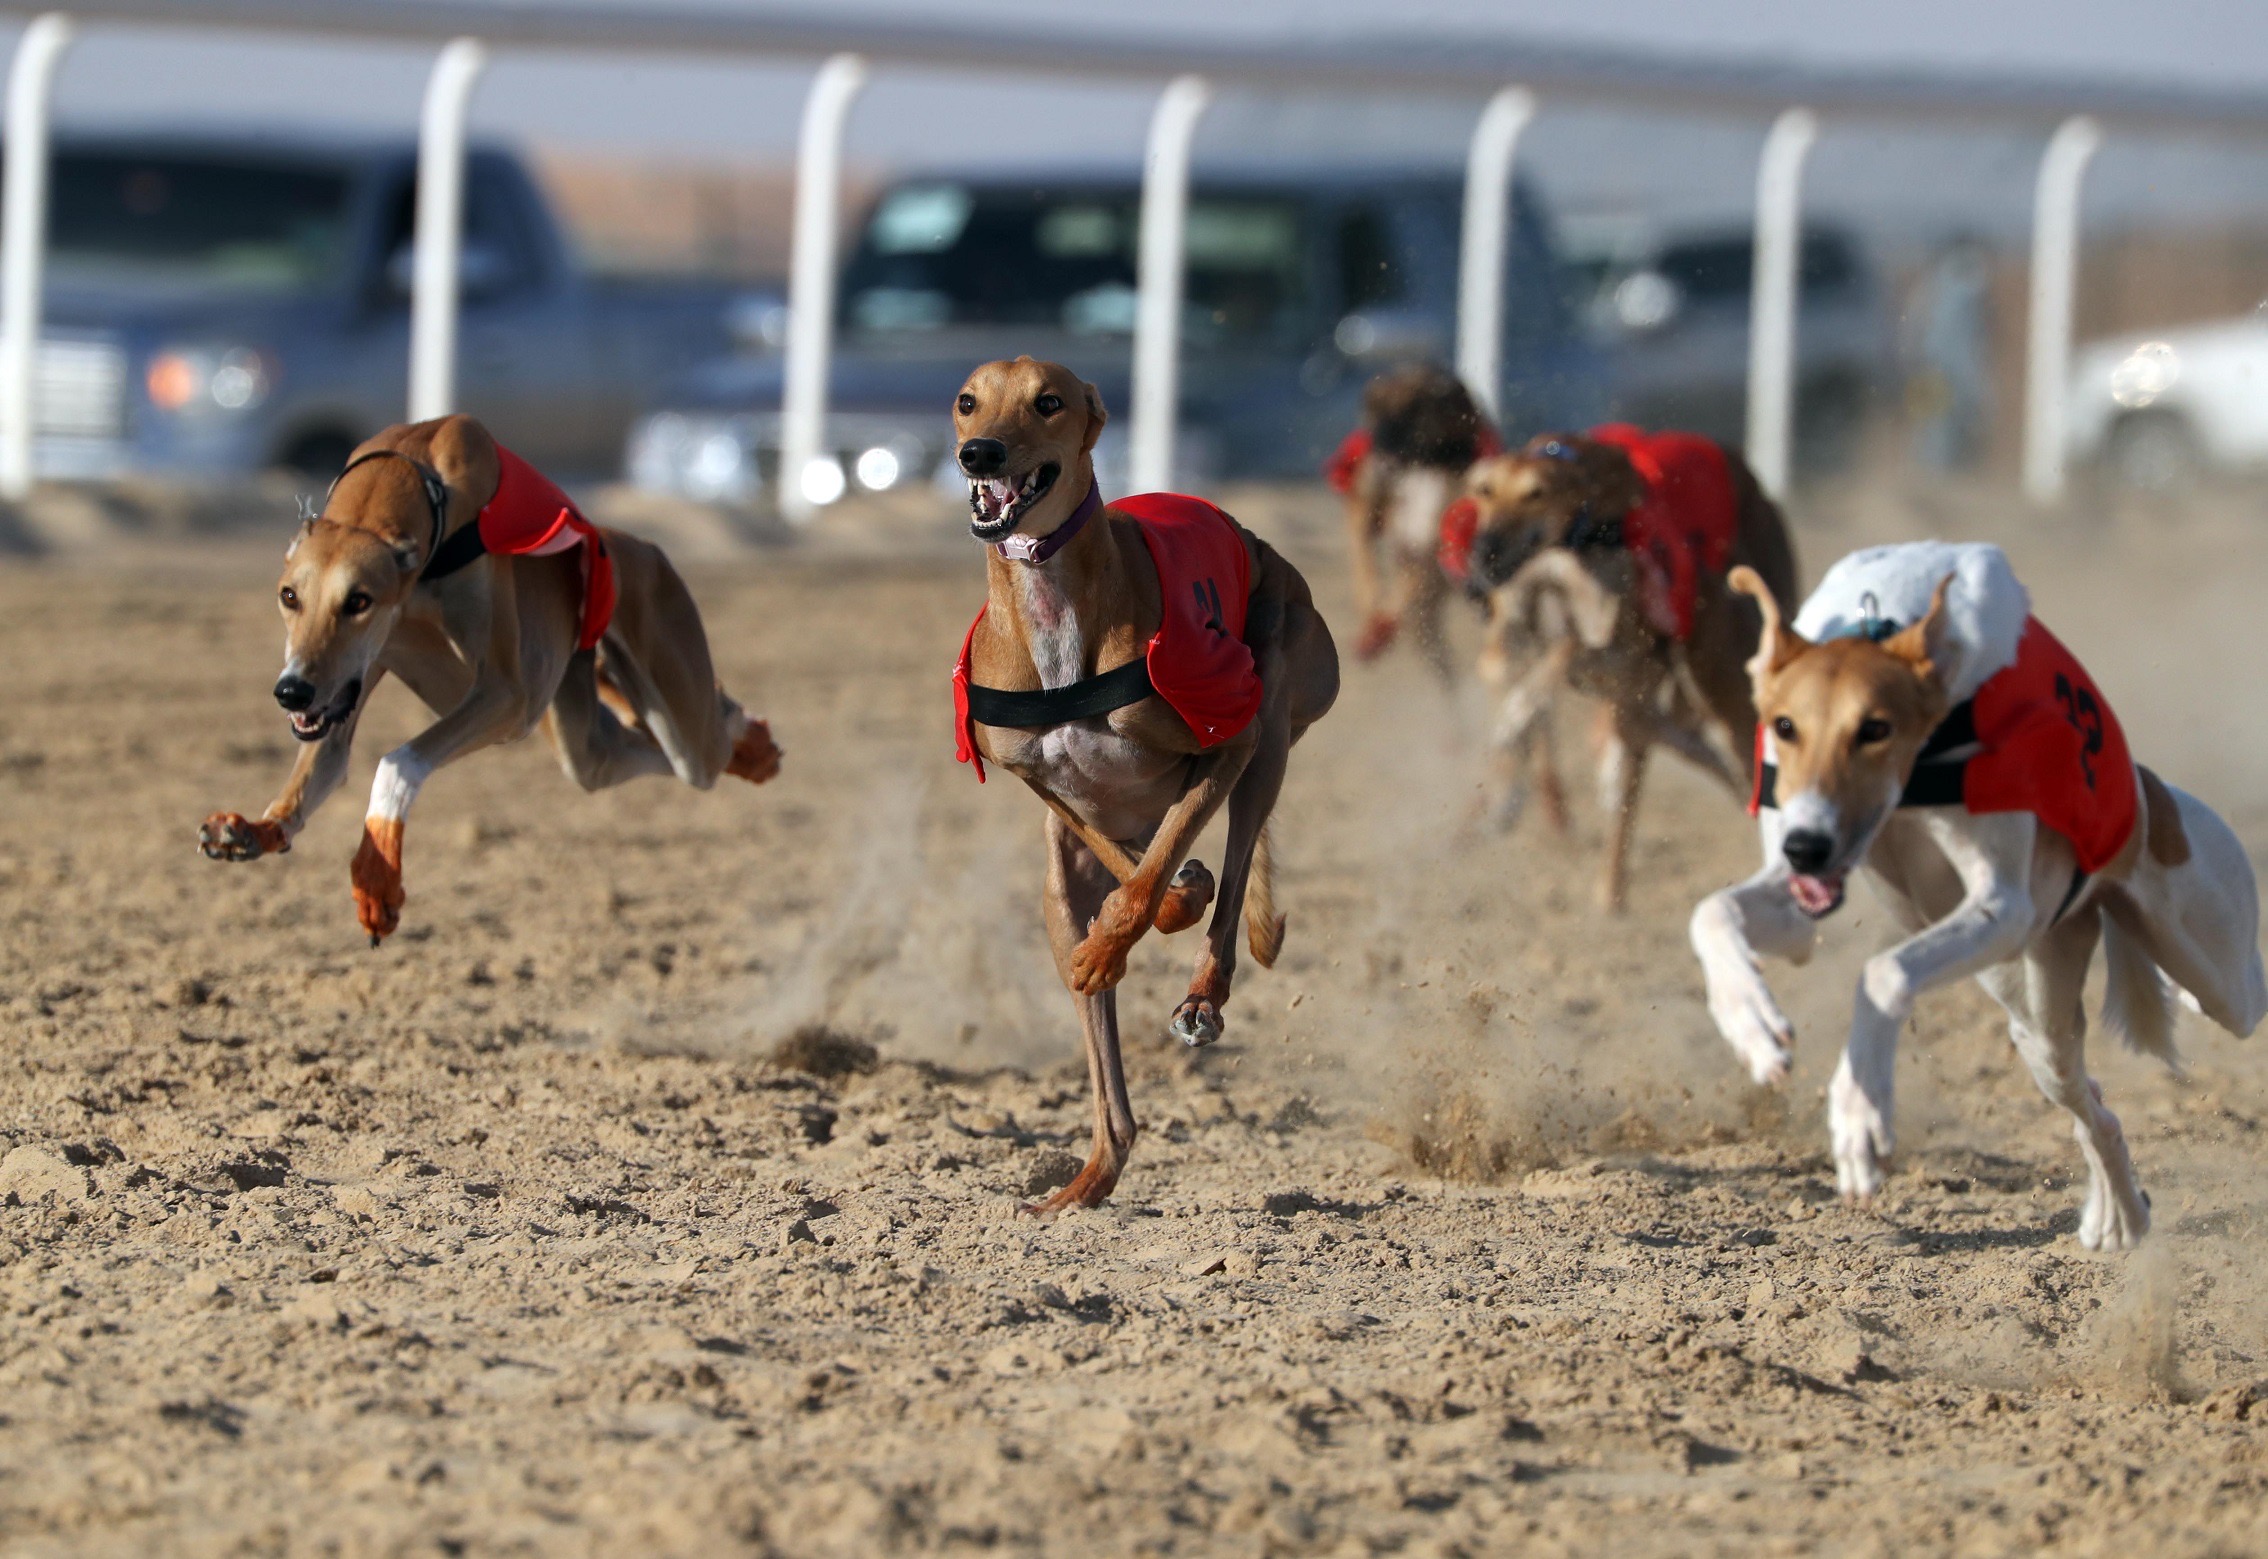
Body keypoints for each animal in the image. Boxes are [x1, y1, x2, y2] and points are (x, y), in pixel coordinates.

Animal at [1696, 542, 2258, 1252]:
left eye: (1875, 728)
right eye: (1785, 725)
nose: (1807, 847)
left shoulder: (2004, 905)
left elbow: (1883, 971)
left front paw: (1860, 1113)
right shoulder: (1805, 894)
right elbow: (1712, 912)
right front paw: (1752, 1027)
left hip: (2218, 973)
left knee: (2232, 997)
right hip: (2035, 1017)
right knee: (2094, 1108)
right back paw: (2119, 1218)